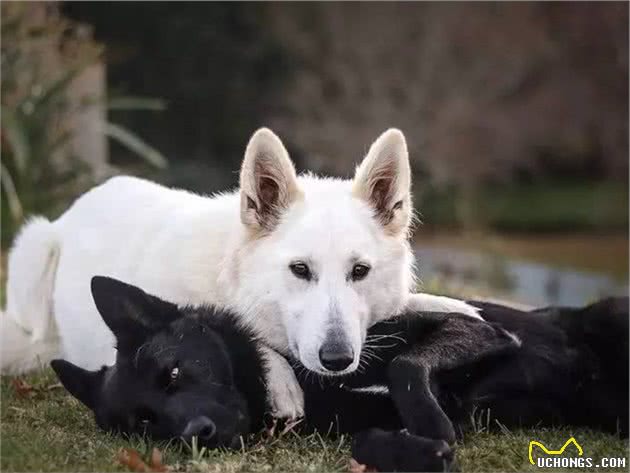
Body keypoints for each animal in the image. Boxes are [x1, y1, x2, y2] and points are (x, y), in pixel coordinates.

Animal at [2, 127, 482, 414]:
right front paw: (281, 381)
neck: (230, 278)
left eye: (360, 271)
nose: (338, 359)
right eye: (300, 269)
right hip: (34, 250)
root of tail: (80, 205)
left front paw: (453, 306)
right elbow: (237, 333)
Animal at [51, 276, 628, 468]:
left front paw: (435, 432)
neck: (298, 378)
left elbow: (403, 366)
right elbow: (365, 440)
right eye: (146, 423)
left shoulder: (481, 331)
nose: (197, 434)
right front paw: (418, 450)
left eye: (172, 373)